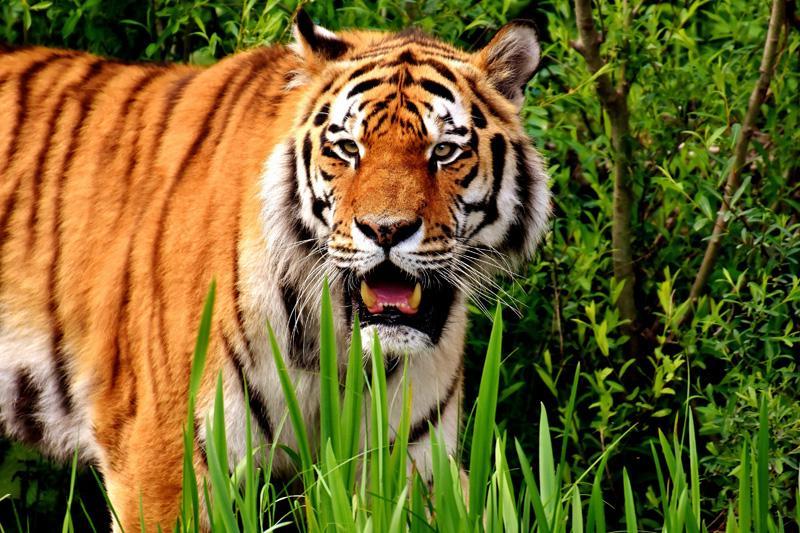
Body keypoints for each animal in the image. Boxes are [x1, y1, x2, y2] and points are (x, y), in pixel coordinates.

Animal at [0, 10, 550, 531]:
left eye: (444, 152)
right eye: (348, 149)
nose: (386, 230)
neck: (333, 342)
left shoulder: (410, 461)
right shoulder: (161, 451)